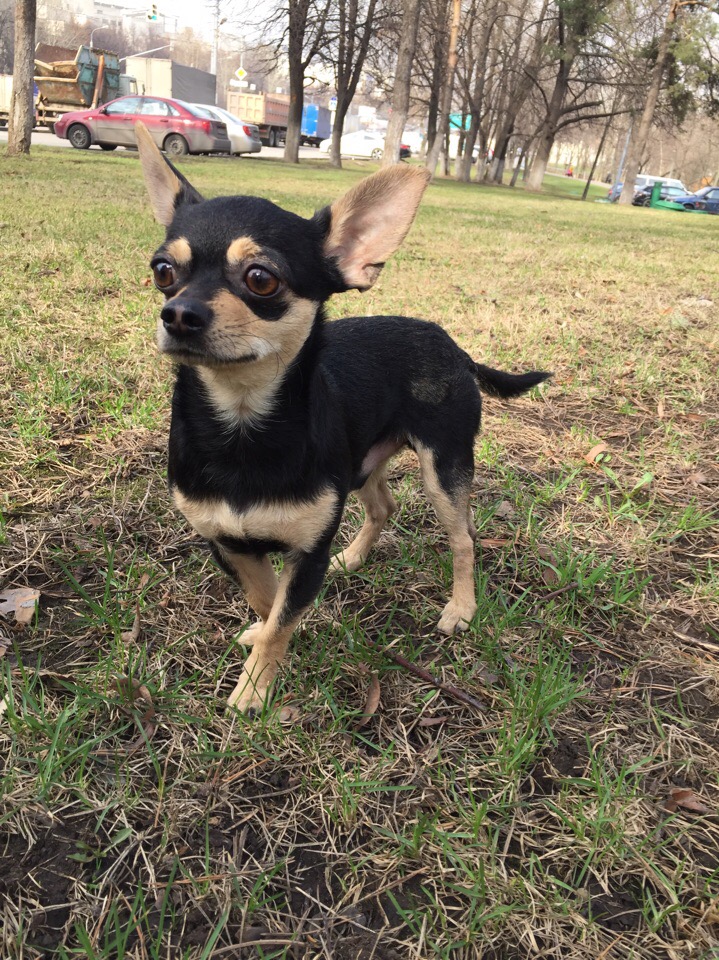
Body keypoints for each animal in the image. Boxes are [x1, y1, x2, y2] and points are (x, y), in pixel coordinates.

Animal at [135, 122, 549, 713]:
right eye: (163, 271)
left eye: (261, 279)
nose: (177, 313)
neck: (241, 424)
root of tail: (452, 345)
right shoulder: (228, 544)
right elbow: (267, 601)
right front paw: (265, 643)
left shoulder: (308, 552)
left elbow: (283, 612)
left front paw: (254, 688)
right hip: (363, 464)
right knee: (383, 507)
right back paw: (353, 557)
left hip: (443, 469)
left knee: (464, 538)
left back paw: (460, 608)